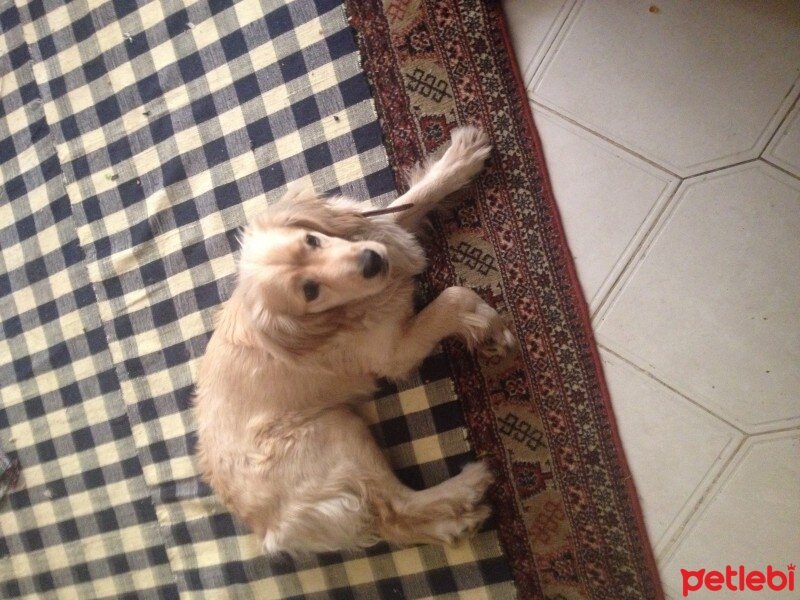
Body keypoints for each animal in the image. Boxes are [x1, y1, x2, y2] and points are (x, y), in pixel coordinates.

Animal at [197, 124, 516, 556]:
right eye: (310, 291)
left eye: (312, 240)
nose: (372, 262)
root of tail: (267, 531)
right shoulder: (394, 353)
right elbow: (454, 297)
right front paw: (488, 326)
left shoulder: (384, 234)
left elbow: (412, 199)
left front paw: (460, 159)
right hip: (339, 432)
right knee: (394, 507)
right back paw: (466, 487)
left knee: (395, 522)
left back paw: (456, 522)